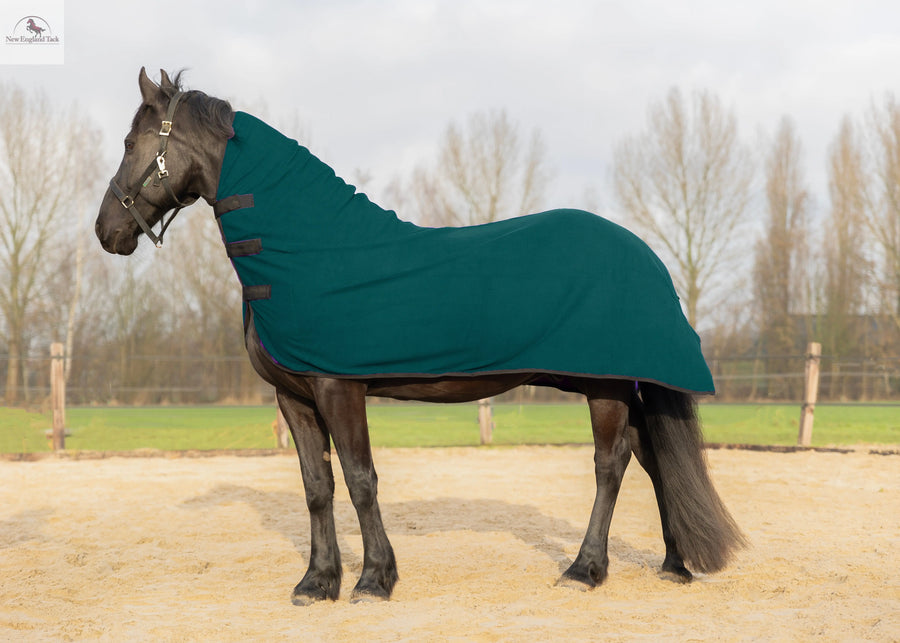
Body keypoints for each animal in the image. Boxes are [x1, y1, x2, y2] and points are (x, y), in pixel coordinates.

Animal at [95, 68, 745, 605]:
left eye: (130, 143)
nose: (106, 231)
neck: (307, 251)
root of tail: (646, 256)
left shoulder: (338, 388)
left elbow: (361, 481)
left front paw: (373, 580)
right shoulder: (294, 397)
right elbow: (317, 487)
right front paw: (316, 582)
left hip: (603, 386)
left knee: (611, 465)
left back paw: (585, 570)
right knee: (653, 459)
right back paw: (674, 565)